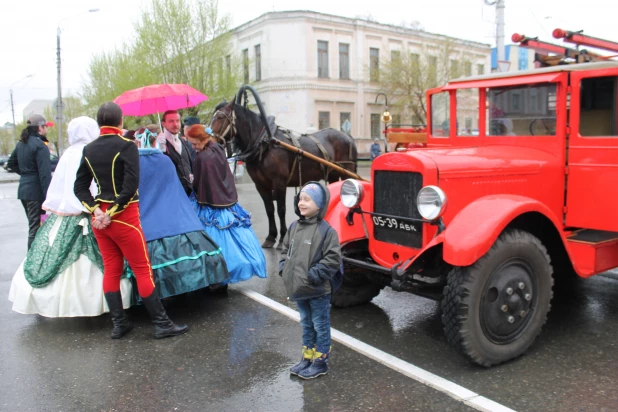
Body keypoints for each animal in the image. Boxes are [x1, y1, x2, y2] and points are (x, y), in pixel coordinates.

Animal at [209, 99, 358, 248]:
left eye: (221, 117)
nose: (209, 140)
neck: (265, 144)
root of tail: (347, 136)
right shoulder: (260, 185)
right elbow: (269, 210)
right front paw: (271, 237)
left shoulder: (279, 182)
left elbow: (281, 210)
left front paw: (282, 238)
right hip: (333, 174)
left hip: (347, 172)